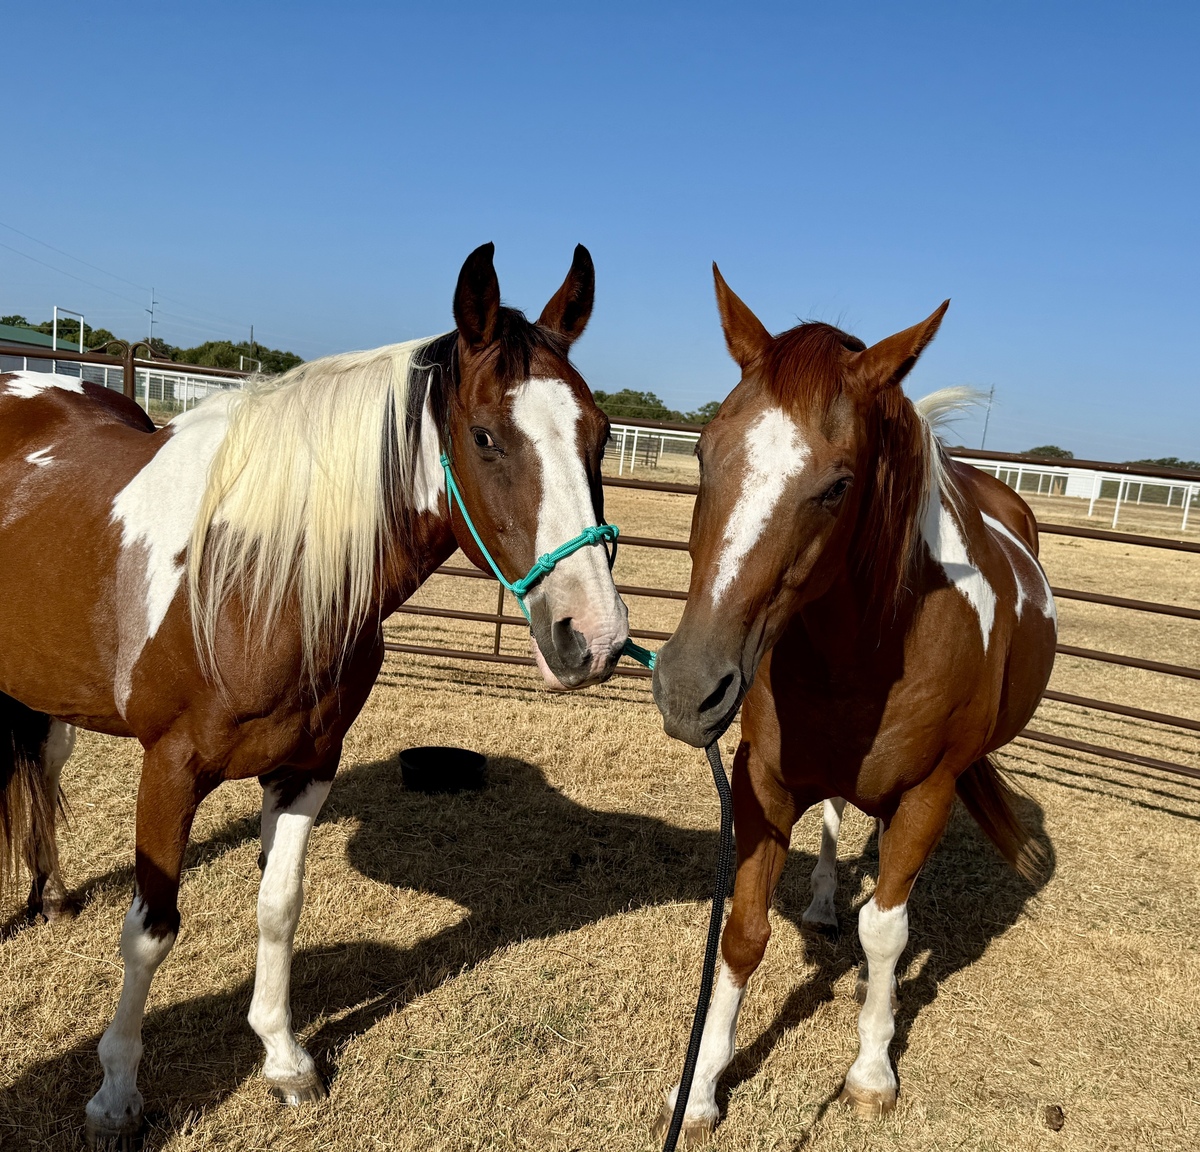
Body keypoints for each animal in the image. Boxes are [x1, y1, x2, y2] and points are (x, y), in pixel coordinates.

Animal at [0, 241, 630, 1146]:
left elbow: (280, 905)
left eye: (601, 434)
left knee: (45, 766)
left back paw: (49, 896)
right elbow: (151, 931)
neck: (262, 574)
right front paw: (116, 1094)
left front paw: (284, 1059)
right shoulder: (170, 771)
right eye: (485, 436)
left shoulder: (307, 767)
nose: (596, 637)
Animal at [651, 266, 1056, 1138]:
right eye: (701, 452)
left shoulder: (929, 793)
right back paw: (824, 900)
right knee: (837, 816)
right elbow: (742, 930)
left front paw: (872, 1070)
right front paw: (700, 1088)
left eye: (838, 487)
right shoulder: (762, 782)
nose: (688, 688)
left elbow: (887, 933)